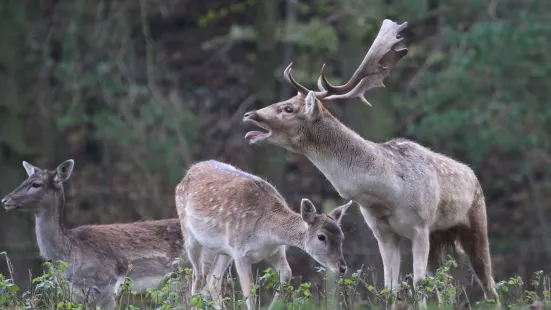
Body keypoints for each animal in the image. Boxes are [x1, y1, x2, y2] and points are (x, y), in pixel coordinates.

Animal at [1, 160, 218, 310]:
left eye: (36, 184)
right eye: (25, 179)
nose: (5, 200)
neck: (70, 252)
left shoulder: (106, 284)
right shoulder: (77, 293)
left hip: (189, 277)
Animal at [175, 160, 352, 310]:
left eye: (342, 237)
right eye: (321, 237)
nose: (342, 267)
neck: (267, 233)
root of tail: (187, 173)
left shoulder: (276, 251)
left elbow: (287, 274)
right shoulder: (240, 252)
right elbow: (250, 294)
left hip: (224, 251)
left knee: (212, 281)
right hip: (190, 235)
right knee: (197, 276)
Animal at [242, 19, 500, 308]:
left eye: (288, 109)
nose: (250, 114)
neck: (388, 196)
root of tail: (473, 175)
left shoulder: (421, 226)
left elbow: (417, 284)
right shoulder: (383, 232)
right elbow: (391, 287)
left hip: (475, 221)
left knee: (488, 285)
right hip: (439, 238)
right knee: (443, 287)